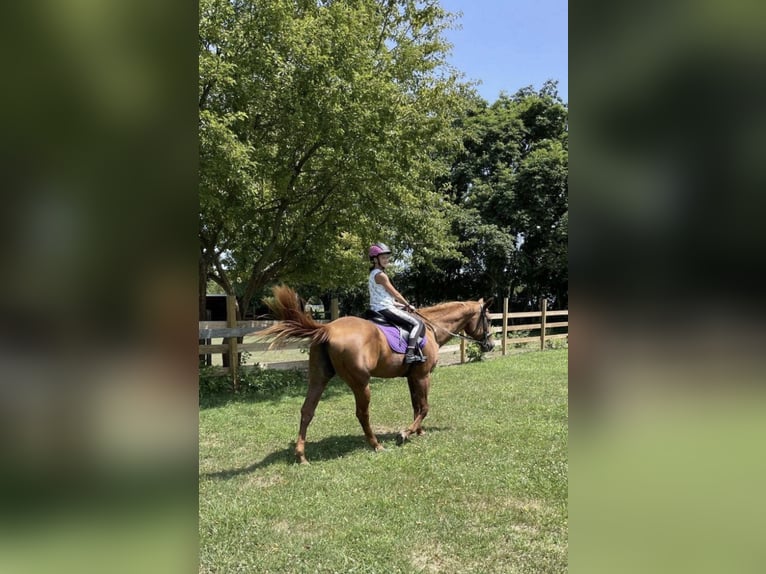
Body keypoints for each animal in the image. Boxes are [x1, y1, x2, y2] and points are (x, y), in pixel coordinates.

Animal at [260, 285, 495, 464]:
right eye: (489, 319)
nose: (491, 345)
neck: (430, 328)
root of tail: (327, 329)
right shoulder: (423, 375)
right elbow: (425, 407)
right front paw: (405, 433)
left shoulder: (412, 377)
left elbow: (416, 405)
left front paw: (418, 431)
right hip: (361, 384)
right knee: (362, 414)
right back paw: (376, 445)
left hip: (319, 379)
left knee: (307, 411)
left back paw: (301, 456)